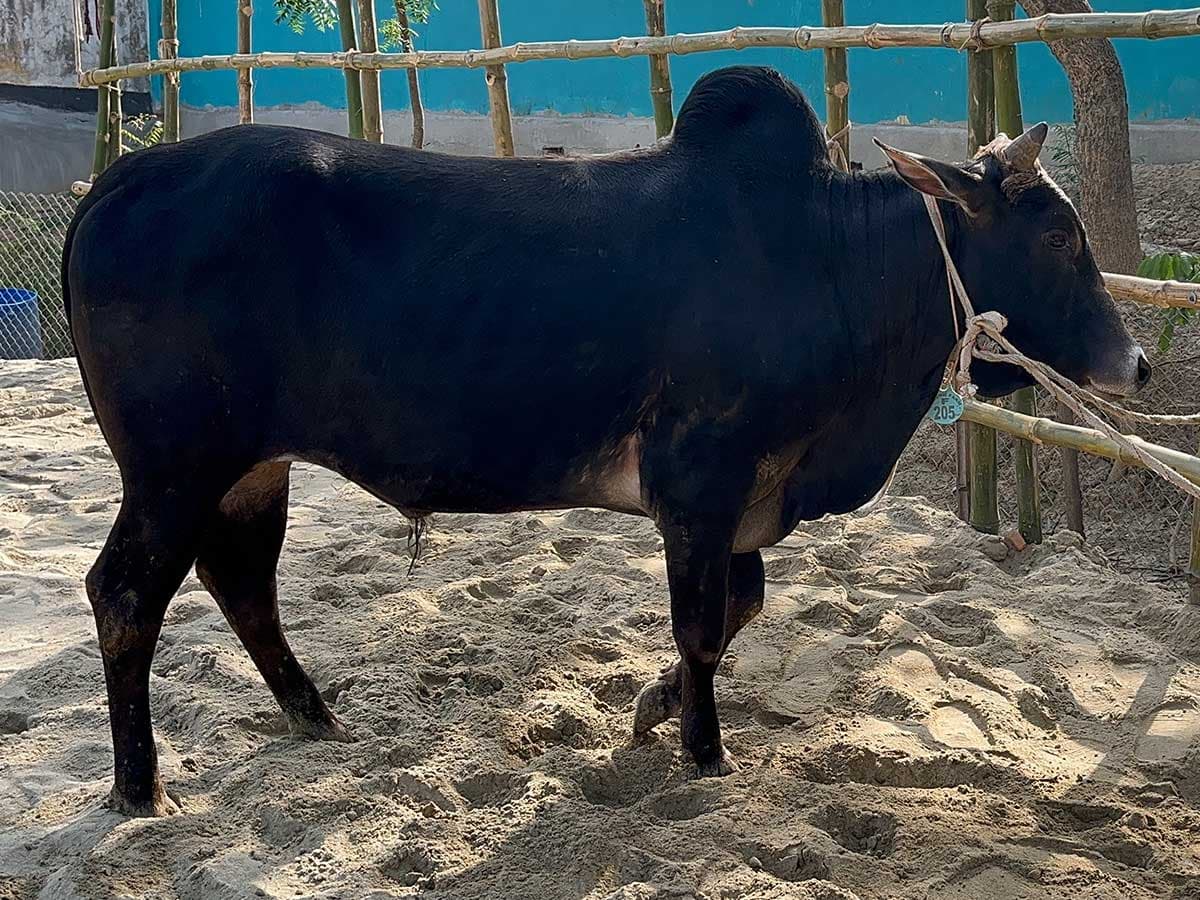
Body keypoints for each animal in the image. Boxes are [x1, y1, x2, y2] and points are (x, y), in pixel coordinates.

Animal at [63, 65, 1150, 817]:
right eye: (1057, 236)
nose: (1136, 364)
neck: (833, 262)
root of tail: (116, 181)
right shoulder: (701, 480)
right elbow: (703, 624)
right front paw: (705, 752)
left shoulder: (738, 503)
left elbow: (741, 607)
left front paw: (654, 708)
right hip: (174, 466)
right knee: (126, 595)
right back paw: (141, 787)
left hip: (249, 467)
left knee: (242, 583)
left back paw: (316, 717)